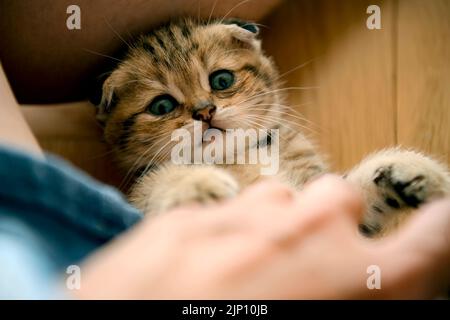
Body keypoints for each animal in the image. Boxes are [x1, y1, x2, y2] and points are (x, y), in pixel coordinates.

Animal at [92, 18, 450, 238]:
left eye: (222, 80)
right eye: (162, 107)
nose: (204, 111)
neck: (239, 158)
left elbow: (352, 187)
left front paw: (407, 169)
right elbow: (157, 185)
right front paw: (195, 187)